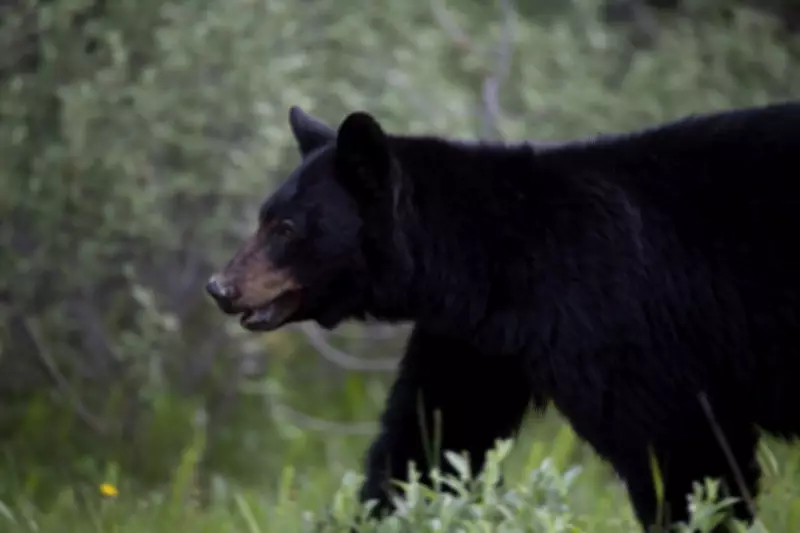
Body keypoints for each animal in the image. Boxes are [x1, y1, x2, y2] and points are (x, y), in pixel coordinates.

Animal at [206, 100, 800, 532]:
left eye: (285, 228)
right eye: (263, 217)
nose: (220, 288)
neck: (494, 261)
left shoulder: (616, 318)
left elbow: (681, 447)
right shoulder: (477, 341)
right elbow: (432, 439)